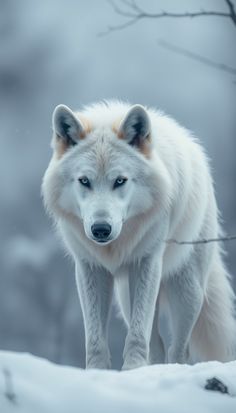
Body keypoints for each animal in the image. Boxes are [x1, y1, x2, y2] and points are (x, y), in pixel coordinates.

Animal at [41, 100, 235, 370]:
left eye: (120, 181)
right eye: (84, 181)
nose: (101, 229)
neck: (116, 243)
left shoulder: (147, 262)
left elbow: (137, 332)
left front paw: (133, 368)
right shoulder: (90, 267)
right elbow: (95, 337)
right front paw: (97, 372)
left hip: (187, 290)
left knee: (179, 349)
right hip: (125, 297)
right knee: (157, 345)